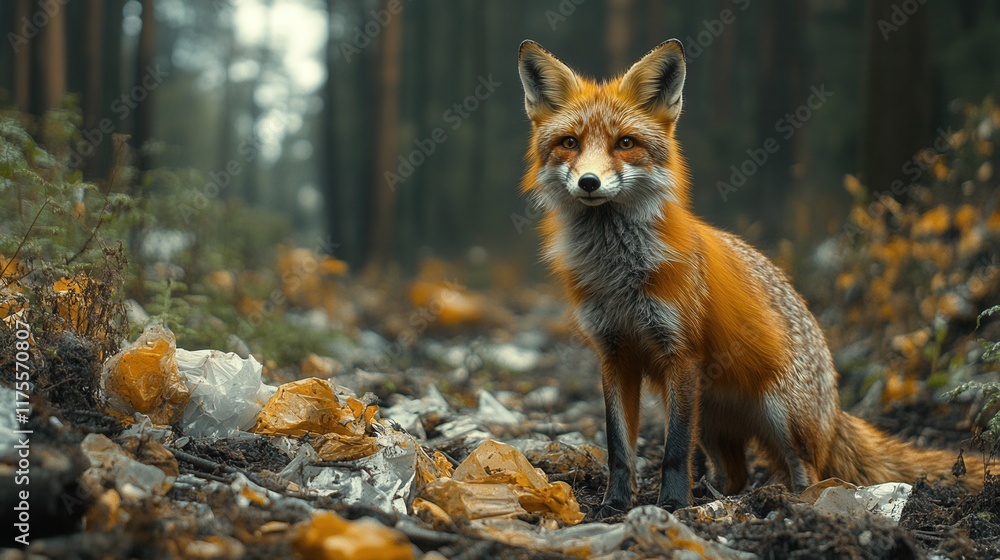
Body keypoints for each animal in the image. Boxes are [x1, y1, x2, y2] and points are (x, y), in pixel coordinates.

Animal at [516, 39, 984, 518]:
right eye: (569, 143)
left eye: (624, 143)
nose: (589, 182)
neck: (620, 275)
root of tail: (835, 406)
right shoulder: (614, 356)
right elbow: (618, 448)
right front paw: (613, 505)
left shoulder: (681, 355)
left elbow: (674, 450)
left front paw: (671, 504)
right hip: (711, 420)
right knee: (737, 475)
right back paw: (721, 497)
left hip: (778, 415)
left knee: (810, 472)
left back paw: (789, 500)